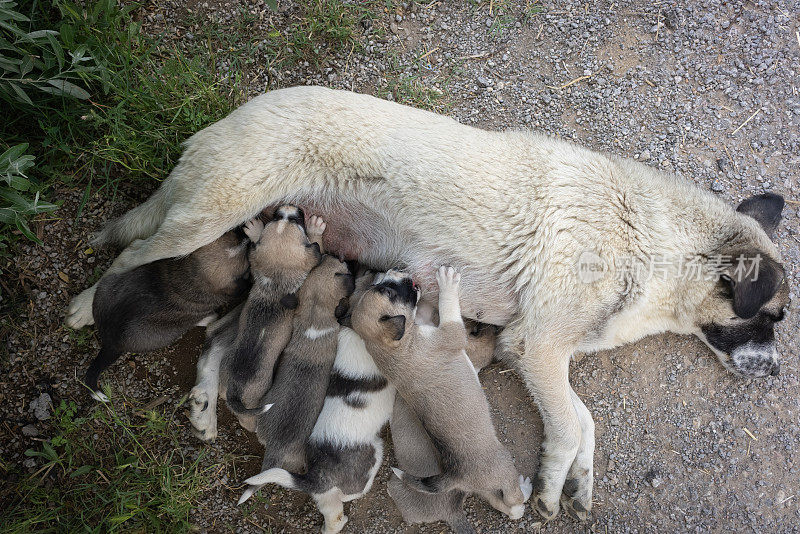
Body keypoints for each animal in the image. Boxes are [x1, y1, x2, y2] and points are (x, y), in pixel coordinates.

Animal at [87, 227, 250, 402]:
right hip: (163, 335)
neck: (189, 276)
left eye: (231, 234)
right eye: (246, 262)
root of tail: (109, 343)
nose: (248, 236)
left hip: (105, 286)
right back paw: (207, 318)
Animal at [223, 206, 324, 432]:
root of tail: (234, 392)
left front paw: (254, 230)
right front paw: (315, 228)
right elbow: (317, 250)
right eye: (297, 222)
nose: (286, 208)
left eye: (277, 218)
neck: (276, 282)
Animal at [344, 268, 532, 524]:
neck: (391, 350)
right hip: (503, 465)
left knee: (504, 506)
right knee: (512, 501)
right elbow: (448, 308)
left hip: (483, 488)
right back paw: (525, 491)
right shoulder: (451, 332)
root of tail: (455, 477)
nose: (392, 270)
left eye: (379, 287)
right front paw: (447, 284)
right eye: (388, 292)